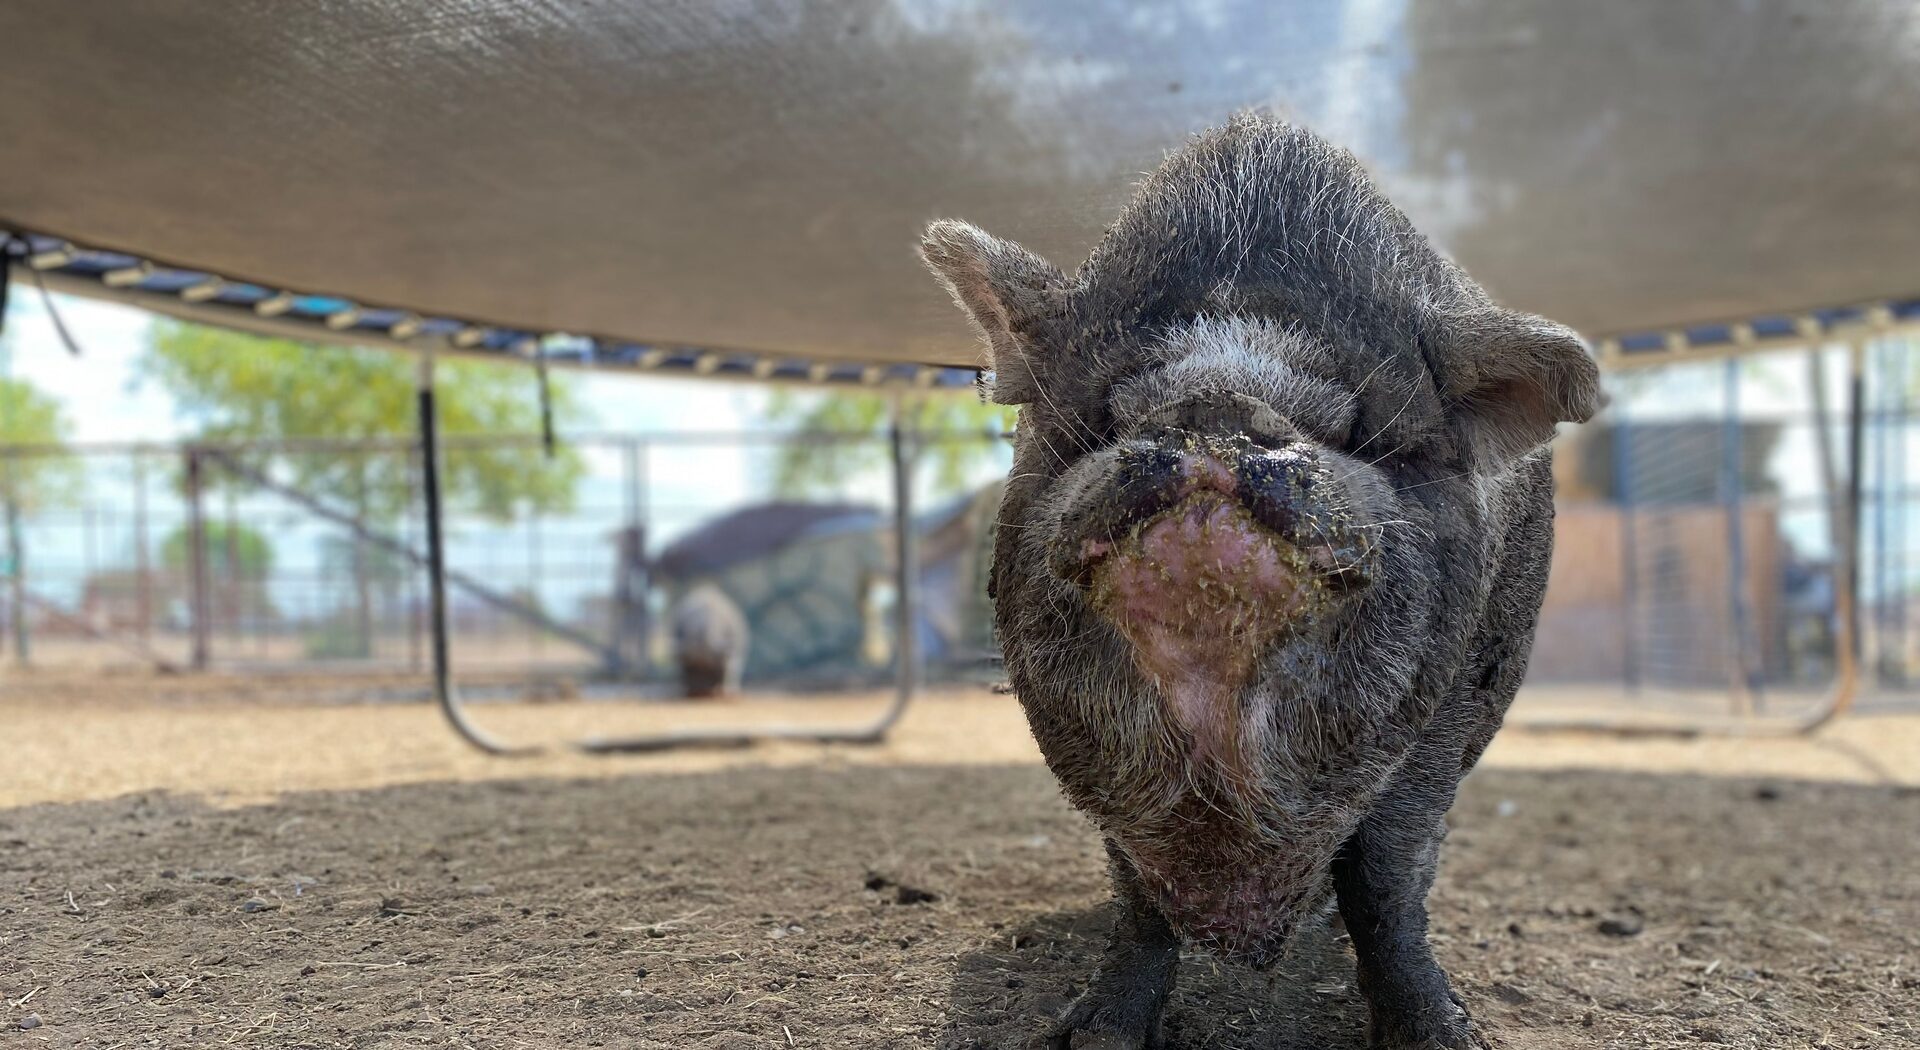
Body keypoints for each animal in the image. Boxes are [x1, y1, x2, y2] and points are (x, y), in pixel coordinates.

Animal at [920, 114, 1600, 1049]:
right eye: (1113, 414)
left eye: (1350, 427)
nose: (1216, 408)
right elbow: (1137, 898)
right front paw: (1090, 1035)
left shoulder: (1460, 692)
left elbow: (1386, 875)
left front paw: (1448, 1036)